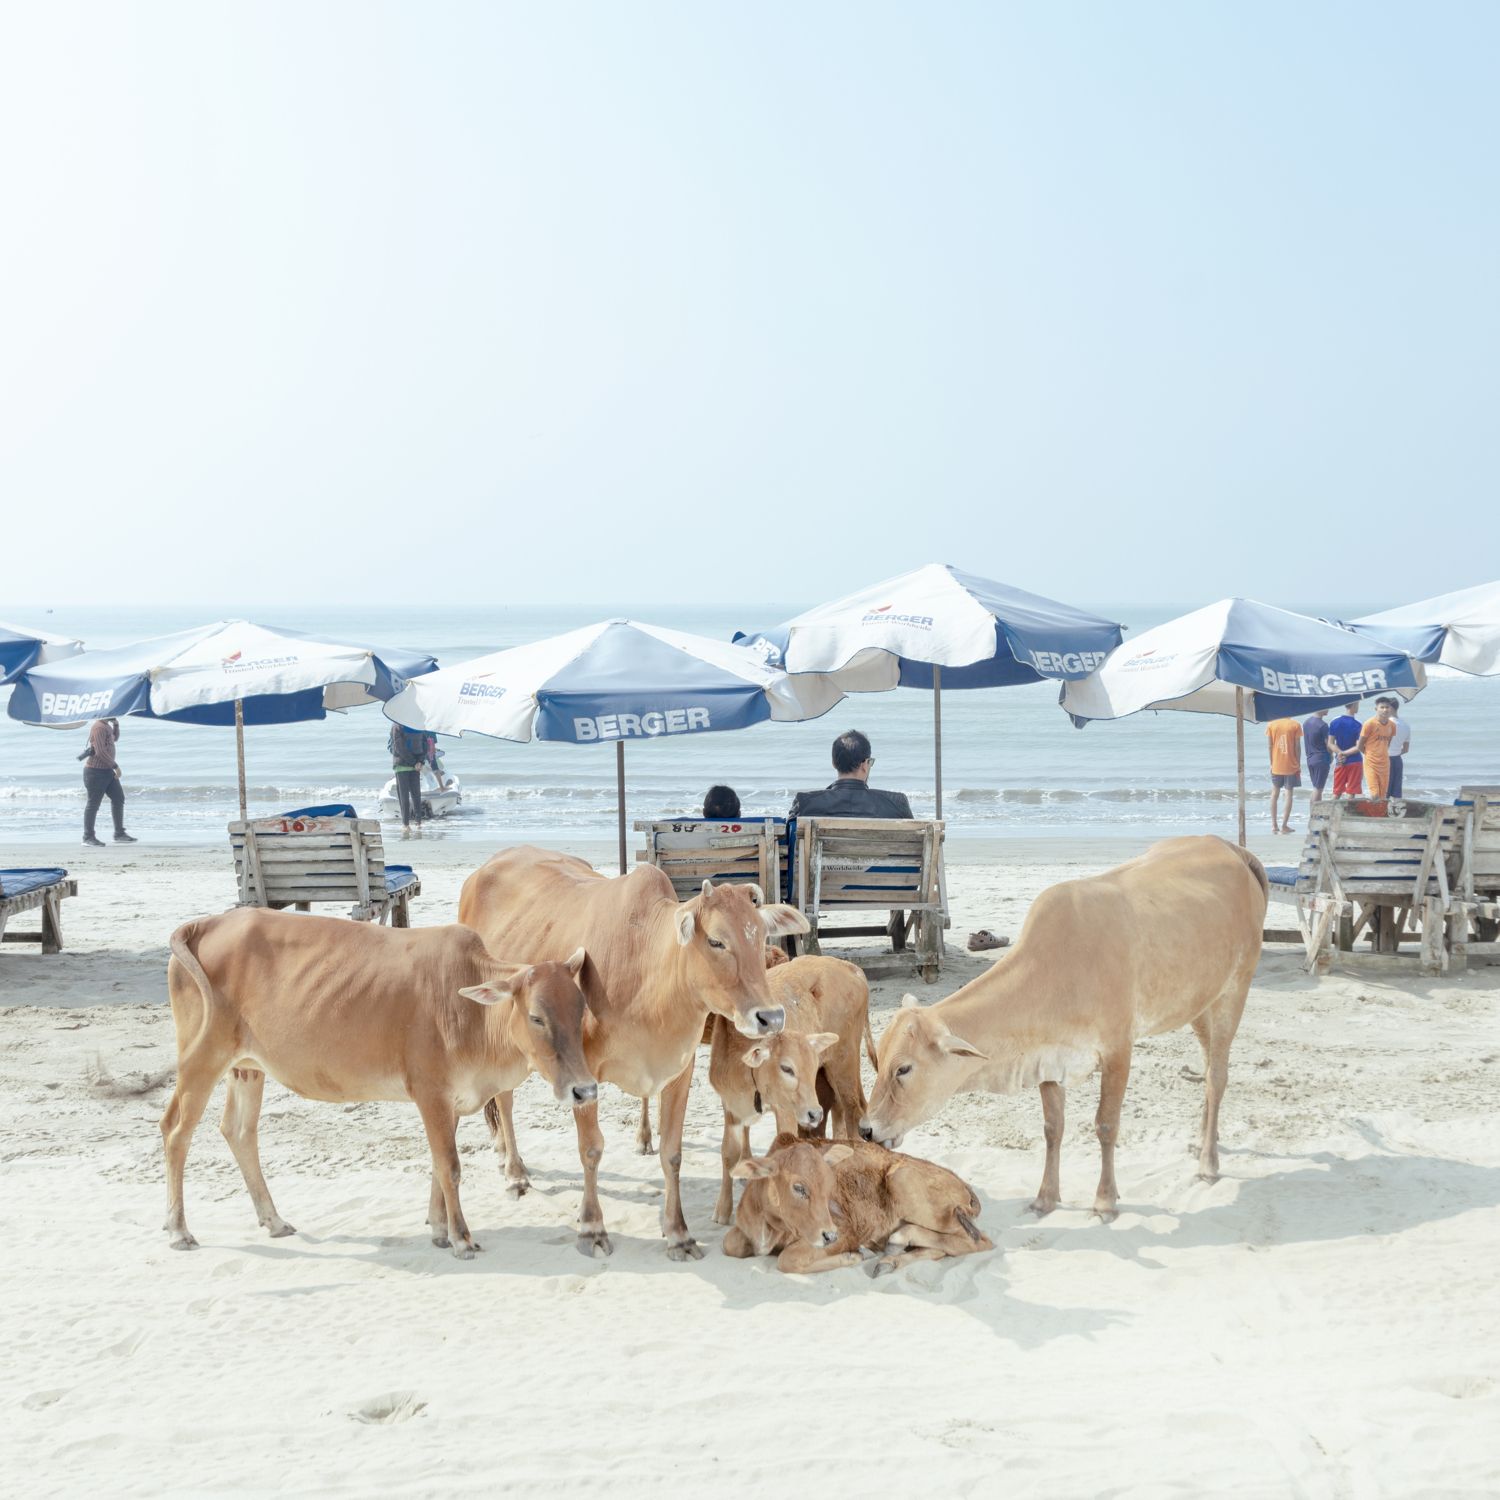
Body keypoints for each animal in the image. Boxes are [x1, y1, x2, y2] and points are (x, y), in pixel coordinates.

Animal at [156, 906, 591, 1260]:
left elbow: (438, 1165)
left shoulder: (448, 1101)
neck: (471, 1012)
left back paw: (273, 1219)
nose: (584, 1090)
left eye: (581, 1008)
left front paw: (438, 1228)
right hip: (202, 1057)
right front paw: (461, 1237)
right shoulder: (431, 1094)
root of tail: (206, 923)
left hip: (247, 1067)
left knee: (239, 1130)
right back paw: (178, 1230)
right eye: (536, 1017)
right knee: (176, 1131)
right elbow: (449, 1166)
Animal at [459, 852, 810, 1260]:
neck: (649, 976)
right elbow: (591, 1150)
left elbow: (672, 1153)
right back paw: (514, 1171)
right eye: (716, 941)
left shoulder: (679, 1070)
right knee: (505, 1099)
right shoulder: (584, 1076)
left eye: (762, 937)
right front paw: (592, 1227)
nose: (771, 1017)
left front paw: (679, 1232)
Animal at [726, 1134, 996, 1278]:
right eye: (798, 1187)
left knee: (979, 1241)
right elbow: (730, 1245)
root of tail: (961, 1182)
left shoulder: (845, 1230)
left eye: (829, 1184)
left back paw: (896, 1240)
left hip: (904, 1181)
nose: (829, 1235)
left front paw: (853, 1256)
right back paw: (889, 1260)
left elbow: (788, 1259)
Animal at [858, 840, 1266, 1224]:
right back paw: (1203, 1143)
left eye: (904, 1069)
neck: (1056, 970)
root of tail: (1234, 850)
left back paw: (1208, 1163)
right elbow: (1053, 1127)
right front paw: (1046, 1198)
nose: (866, 1129)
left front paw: (1104, 1201)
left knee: (1216, 1077)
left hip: (1235, 989)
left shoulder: (1118, 1050)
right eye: (877, 1062)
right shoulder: (1048, 1060)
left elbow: (1106, 1124)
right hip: (1200, 1002)